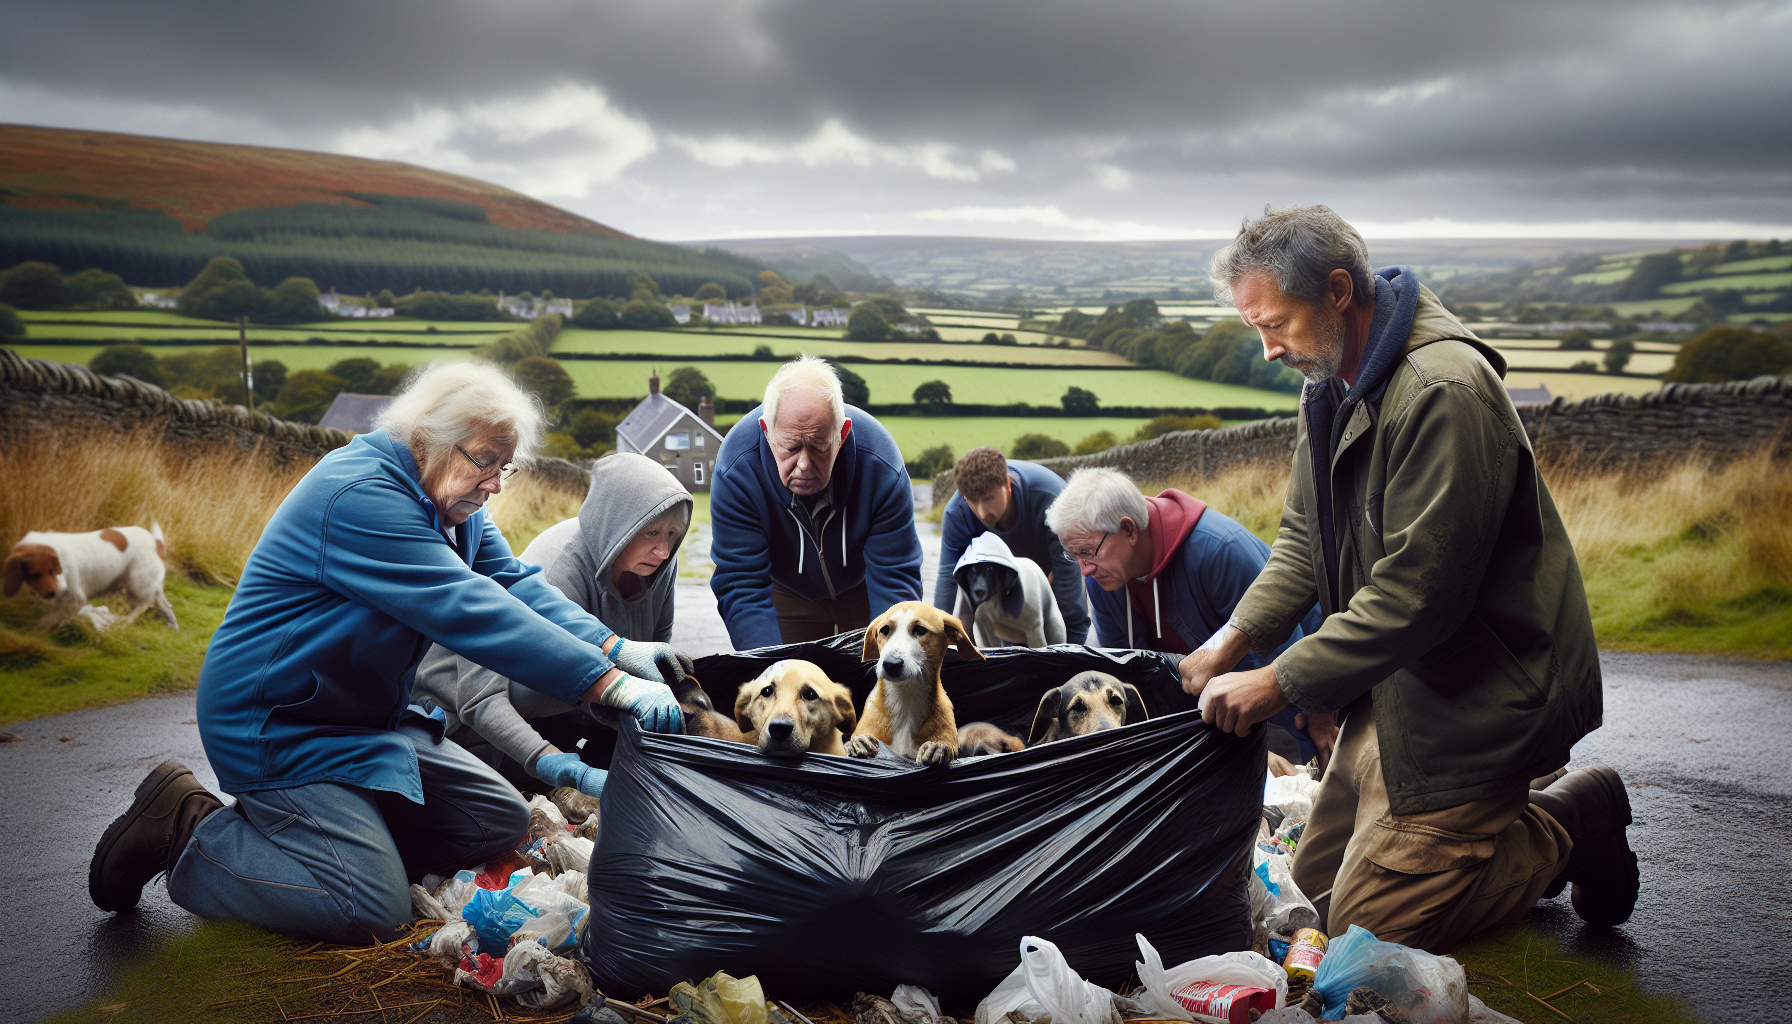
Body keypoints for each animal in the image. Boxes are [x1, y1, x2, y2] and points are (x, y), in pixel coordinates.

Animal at [4, 527, 178, 634]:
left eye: (52, 571)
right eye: (34, 574)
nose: (54, 592)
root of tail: (156, 542)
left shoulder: (75, 599)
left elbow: (47, 620)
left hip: (137, 583)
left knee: (144, 604)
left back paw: (124, 622)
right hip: (146, 586)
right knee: (165, 606)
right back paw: (172, 626)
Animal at [849, 606, 989, 763]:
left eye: (920, 629)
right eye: (884, 629)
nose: (891, 664)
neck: (906, 698)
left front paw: (938, 749)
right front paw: (858, 743)